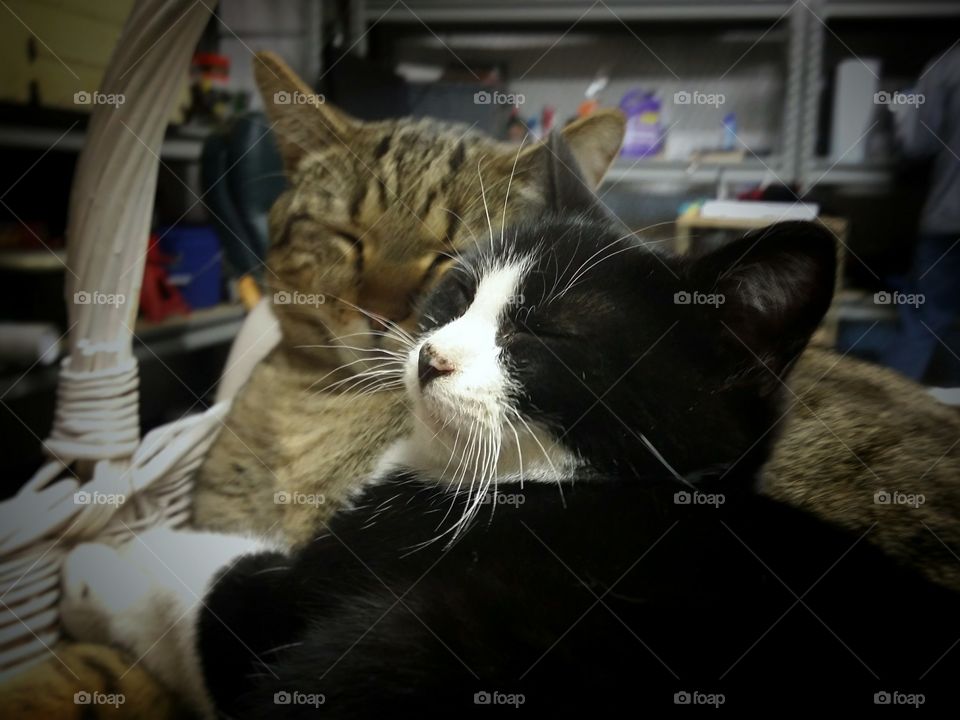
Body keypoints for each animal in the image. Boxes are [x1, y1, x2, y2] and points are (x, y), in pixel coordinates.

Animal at [62, 134, 960, 716]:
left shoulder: (352, 585)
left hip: (424, 639)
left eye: (547, 335)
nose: (430, 358)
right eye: (458, 292)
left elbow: (223, 593)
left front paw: (103, 561)